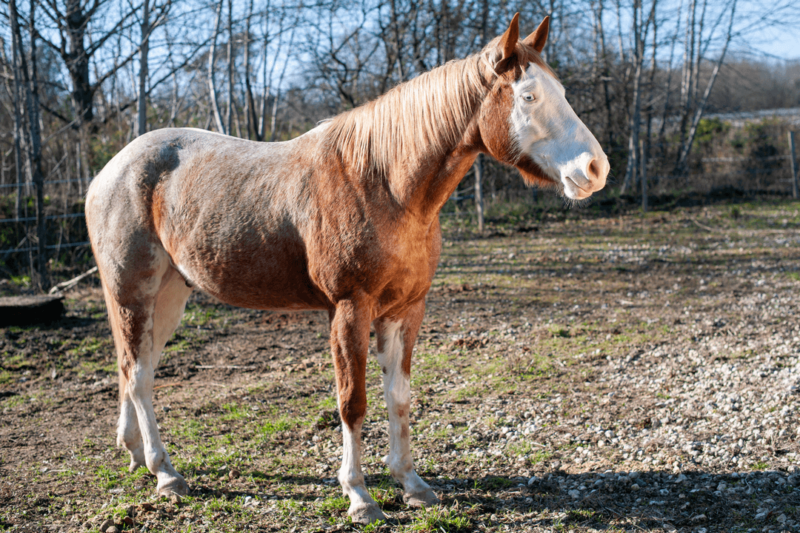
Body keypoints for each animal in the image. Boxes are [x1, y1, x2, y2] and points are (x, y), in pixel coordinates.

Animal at [86, 13, 608, 524]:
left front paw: (412, 484)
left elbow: (399, 397)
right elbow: (352, 402)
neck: (383, 184)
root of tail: (109, 171)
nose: (595, 169)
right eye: (528, 95)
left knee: (137, 367)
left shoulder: (406, 311)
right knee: (139, 374)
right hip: (133, 291)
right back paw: (165, 473)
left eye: (561, 91)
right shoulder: (349, 310)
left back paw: (136, 454)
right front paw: (359, 496)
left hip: (171, 293)